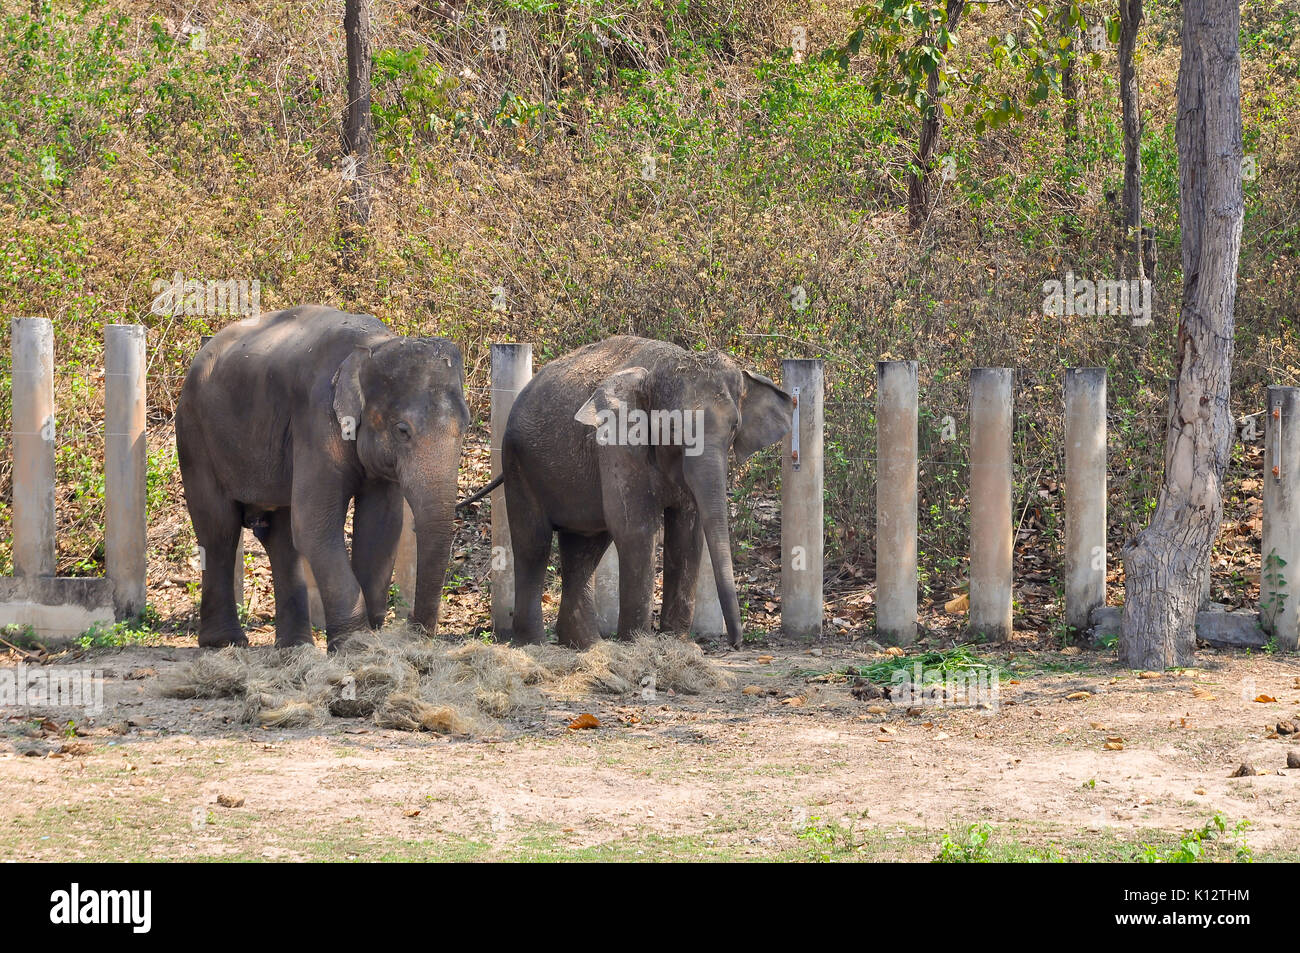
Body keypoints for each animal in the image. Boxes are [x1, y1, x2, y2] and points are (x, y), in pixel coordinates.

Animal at [175, 304, 470, 647]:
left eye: (465, 427)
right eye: (402, 430)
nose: (413, 630)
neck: (374, 345)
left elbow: (382, 525)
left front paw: (369, 638)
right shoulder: (316, 418)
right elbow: (315, 524)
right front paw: (356, 644)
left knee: (280, 536)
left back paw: (296, 645)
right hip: (194, 435)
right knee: (219, 528)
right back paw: (225, 643)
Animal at [488, 335, 790, 647]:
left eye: (734, 427)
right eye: (673, 427)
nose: (736, 642)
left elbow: (686, 532)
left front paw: (675, 642)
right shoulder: (618, 444)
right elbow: (636, 529)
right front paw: (638, 643)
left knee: (584, 546)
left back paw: (588, 645)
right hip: (517, 462)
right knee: (534, 543)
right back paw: (533, 644)